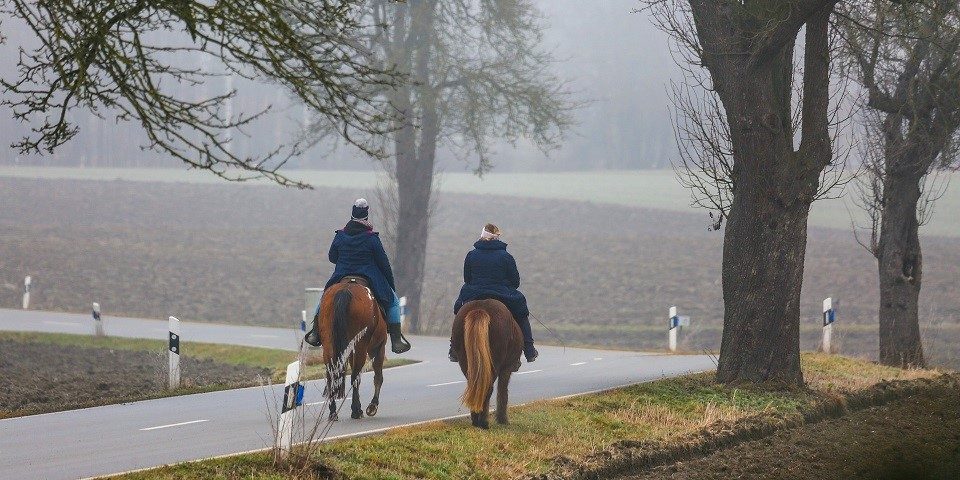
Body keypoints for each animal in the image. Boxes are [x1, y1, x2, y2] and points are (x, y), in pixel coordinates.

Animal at [316, 278, 388, 420]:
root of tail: (345, 289)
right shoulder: (378, 347)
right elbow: (378, 376)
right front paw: (373, 406)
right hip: (361, 345)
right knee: (356, 376)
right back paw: (356, 410)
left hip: (329, 344)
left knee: (331, 374)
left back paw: (333, 412)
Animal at [452, 300, 520, 428]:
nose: (517, 365)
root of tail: (480, 309)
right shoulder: (507, 368)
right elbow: (503, 391)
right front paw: (502, 419)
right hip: (495, 363)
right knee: (488, 389)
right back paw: (484, 422)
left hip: (465, 362)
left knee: (474, 386)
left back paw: (475, 420)